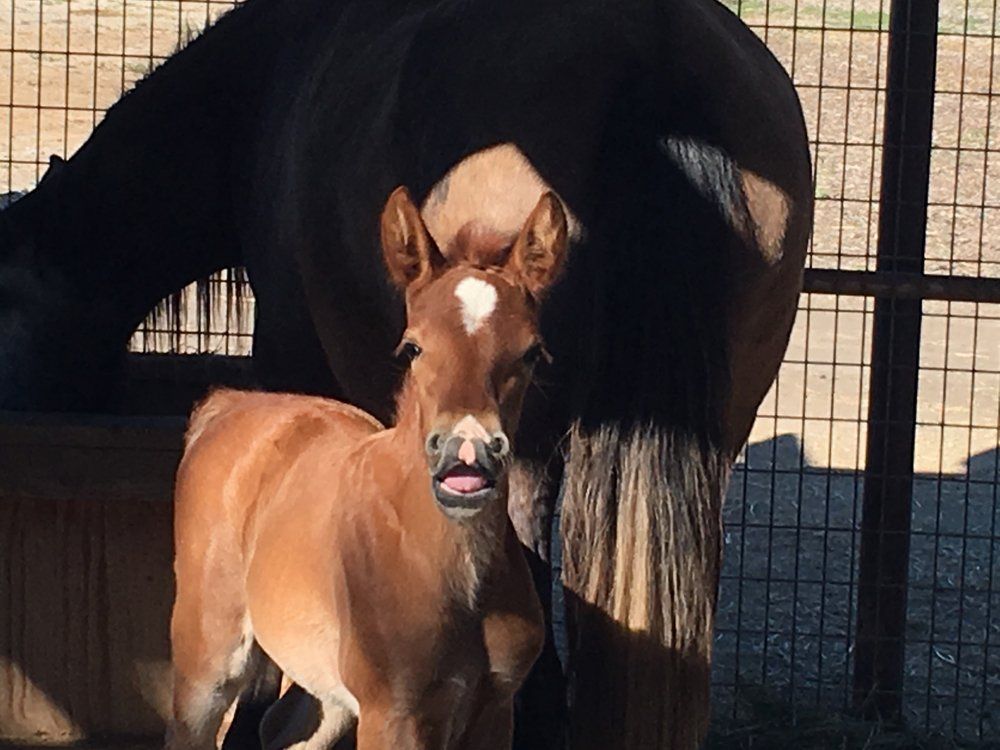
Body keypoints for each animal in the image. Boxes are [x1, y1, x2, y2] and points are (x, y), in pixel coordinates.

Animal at [169, 188, 571, 749]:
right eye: (413, 346)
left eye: (532, 352)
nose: (467, 456)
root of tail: (229, 402)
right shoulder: (392, 713)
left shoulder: (493, 710)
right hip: (208, 655)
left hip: (327, 691)